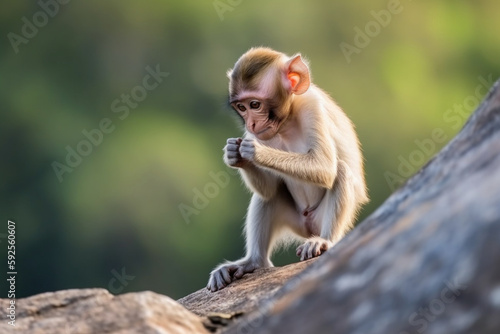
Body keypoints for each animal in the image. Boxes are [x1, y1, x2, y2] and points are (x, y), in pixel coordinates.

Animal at [207, 47, 368, 292]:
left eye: (255, 105)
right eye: (242, 107)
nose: (251, 124)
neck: (287, 121)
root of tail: (308, 227)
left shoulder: (312, 106)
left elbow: (325, 167)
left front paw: (255, 153)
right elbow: (269, 189)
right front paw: (235, 154)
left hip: (321, 220)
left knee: (340, 170)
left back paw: (325, 241)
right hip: (294, 219)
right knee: (269, 196)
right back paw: (253, 262)